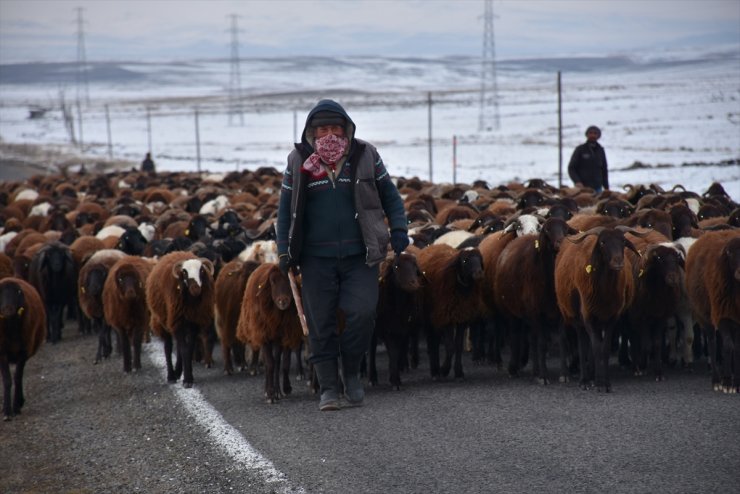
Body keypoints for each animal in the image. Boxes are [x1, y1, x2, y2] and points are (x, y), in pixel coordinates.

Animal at [0, 278, 45, 420]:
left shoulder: (23, 352)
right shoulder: (2, 352)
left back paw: (20, 402)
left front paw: (15, 407)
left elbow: (17, 378)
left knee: (19, 378)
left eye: (17, 293)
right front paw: (7, 411)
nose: (7, 309)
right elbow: (7, 380)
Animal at [145, 251, 214, 386]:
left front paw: (189, 377)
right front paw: (187, 379)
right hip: (164, 321)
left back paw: (177, 371)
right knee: (168, 348)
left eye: (201, 270)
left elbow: (188, 349)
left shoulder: (193, 323)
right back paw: (171, 376)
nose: (195, 289)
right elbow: (183, 349)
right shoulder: (178, 323)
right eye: (184, 272)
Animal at [238, 262, 304, 402]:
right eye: (272, 281)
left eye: (289, 281)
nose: (283, 301)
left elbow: (280, 363)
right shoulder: (264, 335)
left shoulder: (281, 336)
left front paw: (279, 390)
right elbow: (270, 364)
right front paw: (269, 393)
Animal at [684, 229, 736, 394]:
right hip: (705, 314)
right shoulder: (722, 314)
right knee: (713, 342)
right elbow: (728, 345)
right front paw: (728, 383)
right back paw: (717, 380)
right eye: (729, 254)